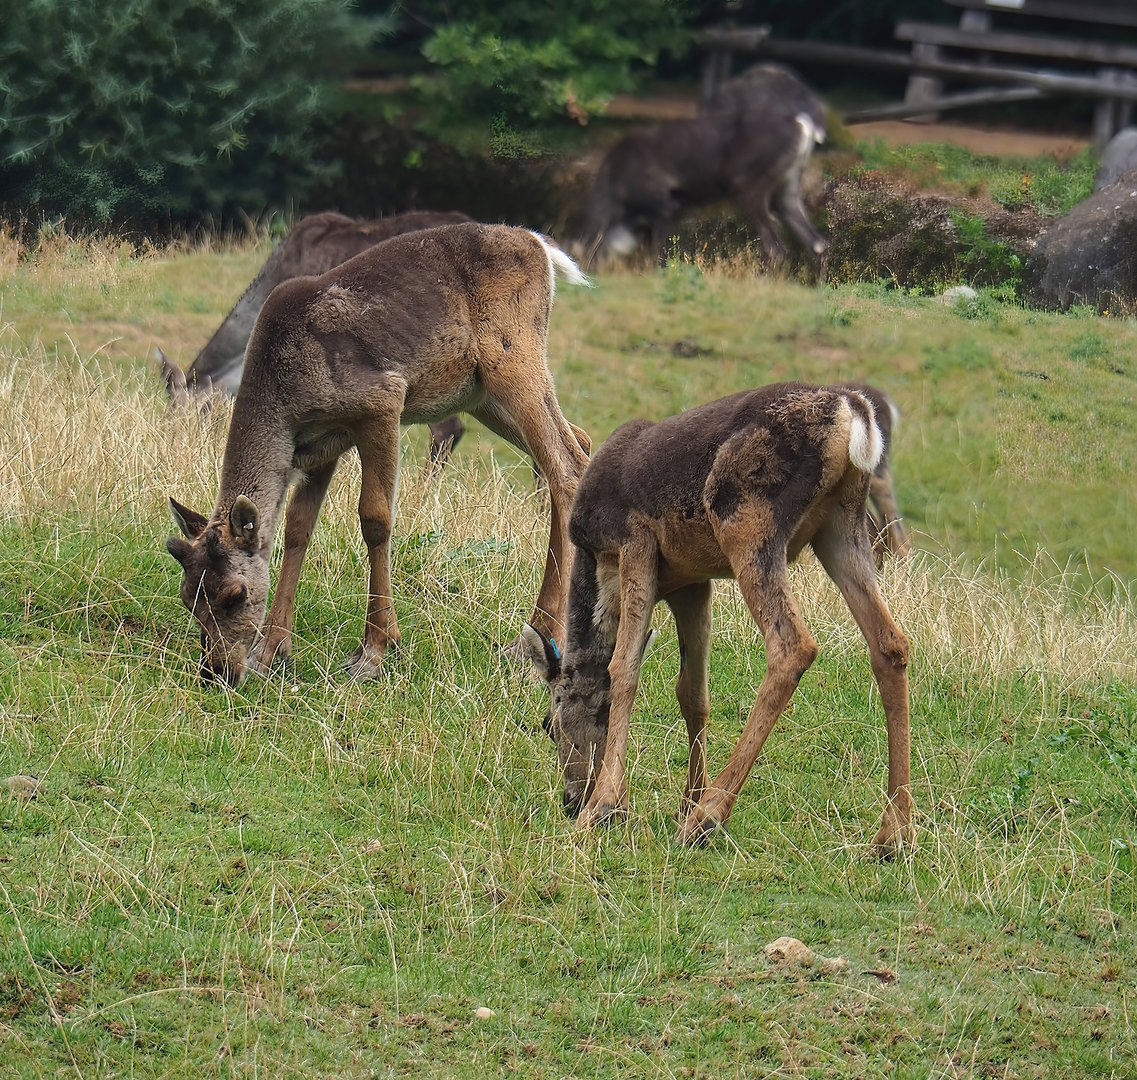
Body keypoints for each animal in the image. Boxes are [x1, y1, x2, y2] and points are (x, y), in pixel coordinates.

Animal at [522, 382, 913, 853]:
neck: (600, 573)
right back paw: (894, 833)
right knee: (890, 643)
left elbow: (623, 669)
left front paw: (608, 806)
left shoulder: (635, 542)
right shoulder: (692, 582)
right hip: (841, 525)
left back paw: (707, 817)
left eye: (549, 725)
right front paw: (684, 798)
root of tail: (854, 413)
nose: (571, 799)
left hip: (747, 517)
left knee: (793, 646)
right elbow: (692, 693)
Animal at [575, 64, 829, 275]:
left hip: (746, 183)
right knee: (817, 243)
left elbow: (655, 255)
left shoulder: (665, 205)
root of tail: (803, 125)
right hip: (788, 185)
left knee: (776, 248)